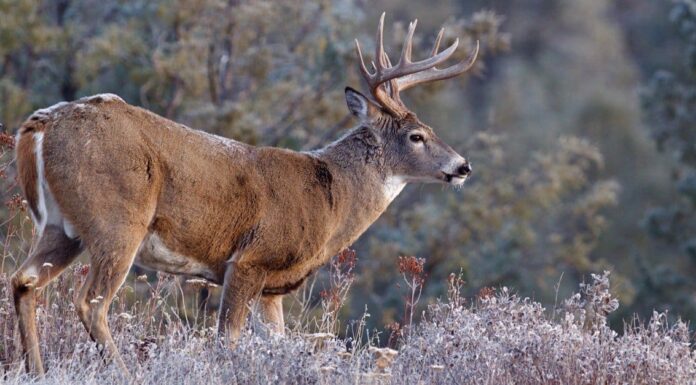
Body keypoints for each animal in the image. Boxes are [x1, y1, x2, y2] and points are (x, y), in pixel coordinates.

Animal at [10, 12, 478, 376]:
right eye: (417, 136)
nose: (462, 166)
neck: (332, 199)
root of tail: (40, 124)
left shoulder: (272, 288)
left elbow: (275, 343)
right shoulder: (250, 259)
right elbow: (226, 341)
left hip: (61, 227)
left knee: (23, 280)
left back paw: (36, 371)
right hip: (117, 219)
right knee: (90, 301)